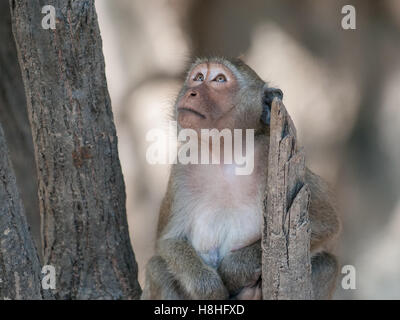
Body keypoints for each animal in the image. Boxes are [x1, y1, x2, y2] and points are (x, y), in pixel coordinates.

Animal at [141, 56, 340, 298]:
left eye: (219, 79)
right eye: (198, 77)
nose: (191, 92)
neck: (225, 155)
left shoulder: (268, 152)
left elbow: (326, 224)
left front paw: (234, 270)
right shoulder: (182, 168)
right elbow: (167, 241)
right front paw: (208, 288)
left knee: (327, 264)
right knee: (157, 268)